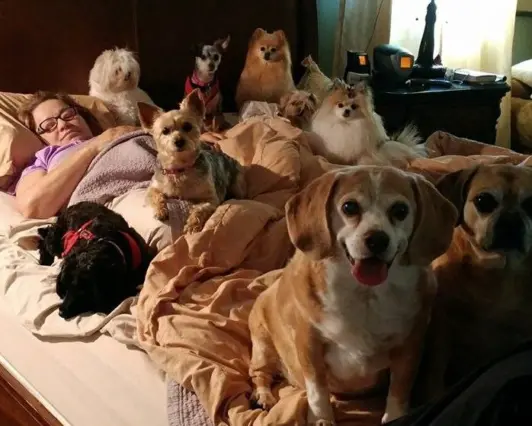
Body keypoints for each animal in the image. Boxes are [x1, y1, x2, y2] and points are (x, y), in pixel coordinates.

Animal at [249, 166, 458, 422]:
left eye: (400, 210)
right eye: (349, 207)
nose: (377, 239)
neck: (365, 295)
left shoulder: (410, 347)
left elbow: (399, 391)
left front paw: (395, 417)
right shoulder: (309, 344)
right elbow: (317, 393)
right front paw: (321, 420)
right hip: (262, 346)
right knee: (259, 373)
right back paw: (264, 396)